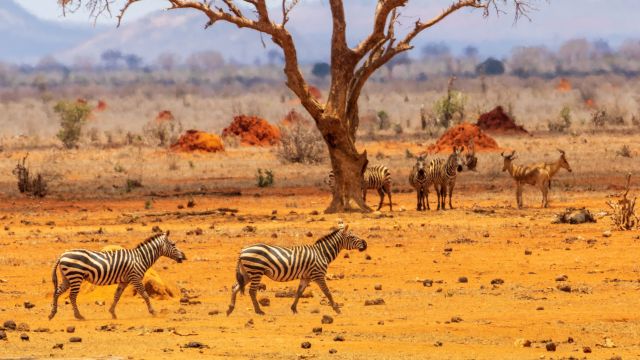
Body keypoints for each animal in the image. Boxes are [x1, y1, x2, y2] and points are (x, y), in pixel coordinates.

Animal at [48, 233, 185, 320]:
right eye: (173, 244)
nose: (184, 257)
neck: (140, 257)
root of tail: (63, 254)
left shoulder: (125, 281)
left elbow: (117, 296)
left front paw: (112, 313)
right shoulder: (135, 278)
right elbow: (145, 294)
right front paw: (153, 312)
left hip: (67, 278)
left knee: (57, 292)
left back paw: (52, 314)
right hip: (75, 276)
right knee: (72, 296)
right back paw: (79, 316)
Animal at [226, 225, 368, 316]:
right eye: (352, 236)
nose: (365, 244)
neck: (321, 253)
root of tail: (242, 251)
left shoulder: (306, 277)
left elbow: (299, 292)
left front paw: (293, 309)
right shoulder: (318, 274)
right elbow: (327, 292)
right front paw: (337, 309)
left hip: (247, 273)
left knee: (235, 287)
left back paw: (230, 309)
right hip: (256, 271)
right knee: (252, 291)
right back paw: (259, 311)